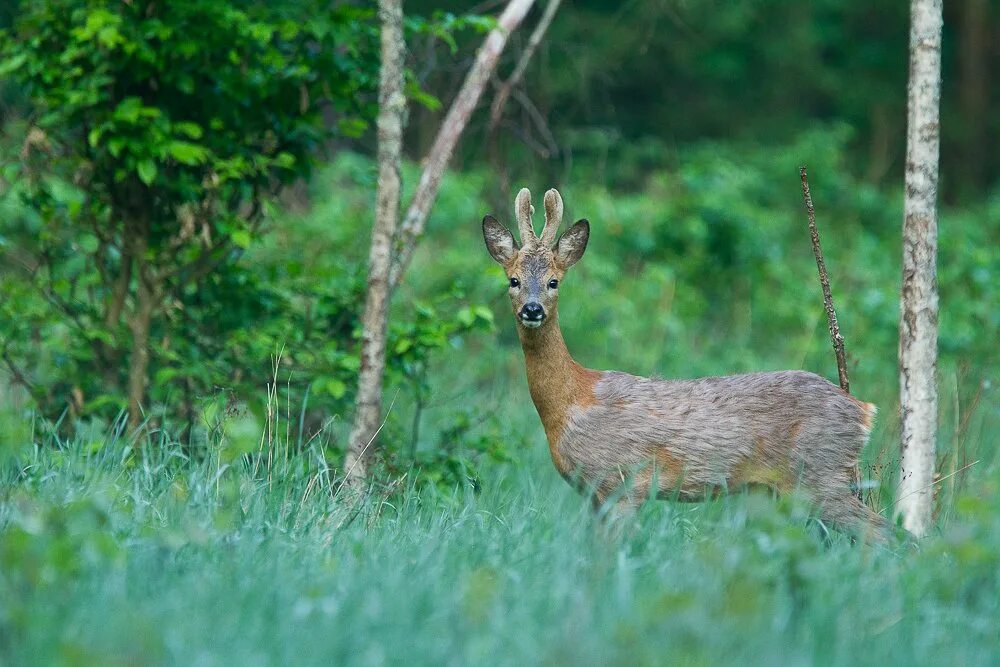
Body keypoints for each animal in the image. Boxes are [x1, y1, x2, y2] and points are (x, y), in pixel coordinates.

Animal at [480, 187, 896, 544]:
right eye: (513, 280)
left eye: (554, 282)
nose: (532, 309)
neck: (569, 403)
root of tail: (864, 410)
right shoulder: (597, 496)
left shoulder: (622, 481)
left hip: (819, 474)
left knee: (888, 535)